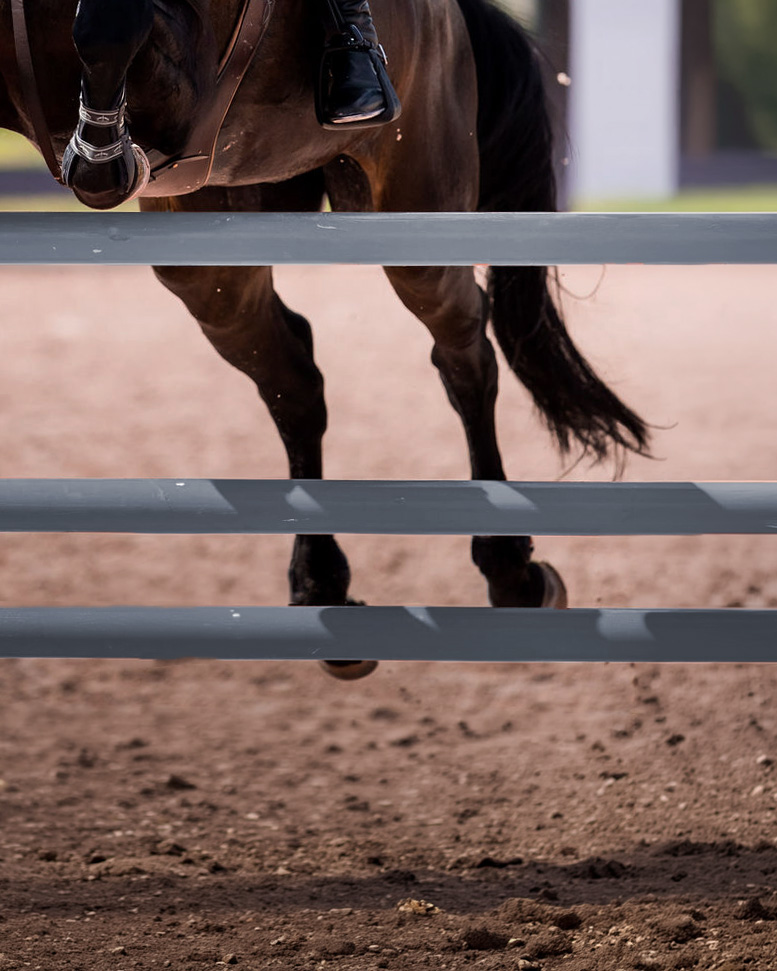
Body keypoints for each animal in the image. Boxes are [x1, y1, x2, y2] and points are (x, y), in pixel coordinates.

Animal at [0, 0, 649, 679]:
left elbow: (106, 27)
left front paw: (98, 155)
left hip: (411, 198)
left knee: (464, 351)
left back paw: (510, 571)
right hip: (210, 239)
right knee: (293, 378)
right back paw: (320, 586)